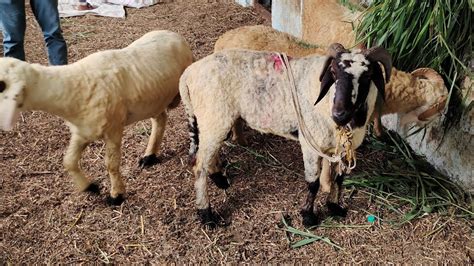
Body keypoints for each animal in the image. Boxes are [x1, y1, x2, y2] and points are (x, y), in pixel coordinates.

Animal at [0, 29, 193, 204]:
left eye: (1, 85)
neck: (73, 86)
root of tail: (175, 34)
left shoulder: (114, 129)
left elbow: (111, 165)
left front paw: (116, 195)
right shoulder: (82, 132)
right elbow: (68, 161)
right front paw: (90, 187)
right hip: (154, 100)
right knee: (160, 120)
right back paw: (150, 156)